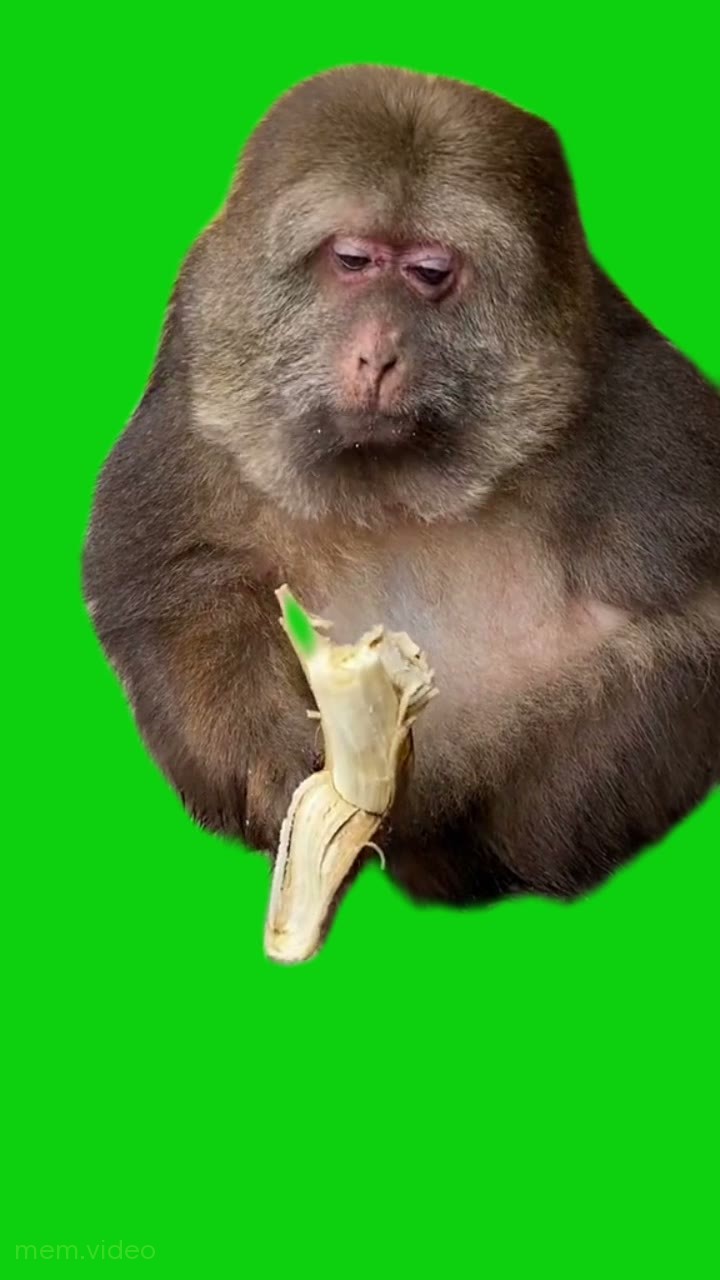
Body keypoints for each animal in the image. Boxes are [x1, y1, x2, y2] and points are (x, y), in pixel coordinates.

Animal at [83, 64, 720, 915]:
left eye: (429, 274)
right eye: (353, 260)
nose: (379, 354)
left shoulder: (636, 411)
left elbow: (693, 607)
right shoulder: (201, 391)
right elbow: (178, 585)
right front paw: (278, 761)